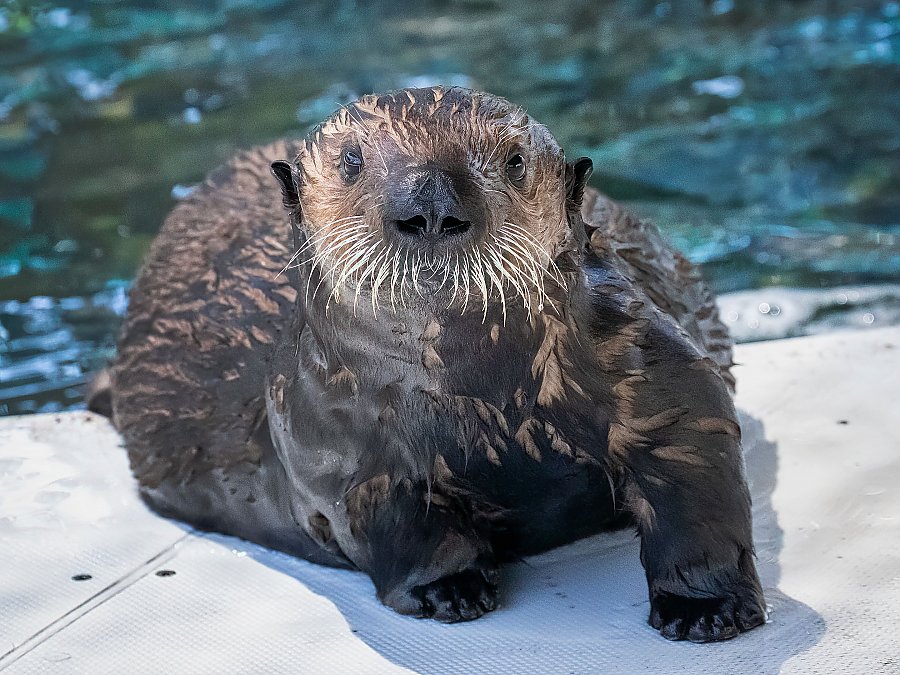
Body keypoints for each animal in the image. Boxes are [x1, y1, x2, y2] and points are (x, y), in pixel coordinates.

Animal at [109, 87, 765, 642]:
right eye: (351, 160)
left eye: (514, 161)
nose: (429, 205)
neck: (481, 401)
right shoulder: (340, 443)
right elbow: (399, 525)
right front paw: (447, 590)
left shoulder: (641, 357)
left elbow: (693, 472)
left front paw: (707, 607)